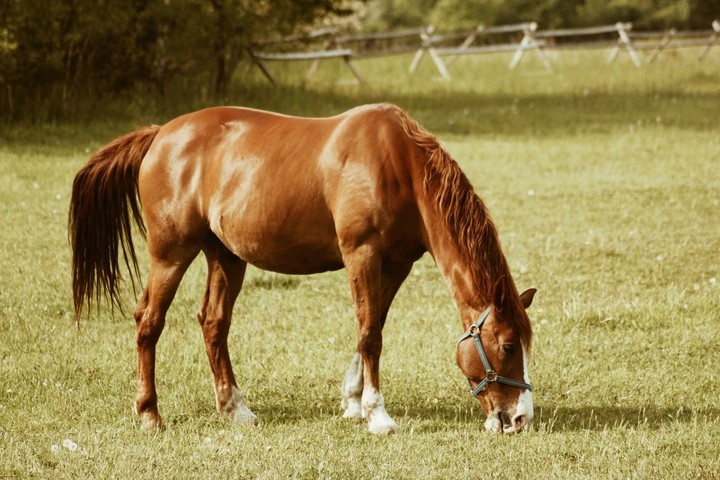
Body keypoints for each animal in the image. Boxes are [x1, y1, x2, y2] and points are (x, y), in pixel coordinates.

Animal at [69, 103, 537, 435]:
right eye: (508, 346)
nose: (520, 419)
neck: (397, 166)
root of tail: (160, 134)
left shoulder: (396, 264)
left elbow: (370, 327)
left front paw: (353, 402)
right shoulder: (361, 254)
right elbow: (371, 334)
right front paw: (377, 414)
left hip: (226, 256)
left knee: (213, 323)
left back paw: (235, 408)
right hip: (171, 255)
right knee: (149, 321)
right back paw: (150, 413)